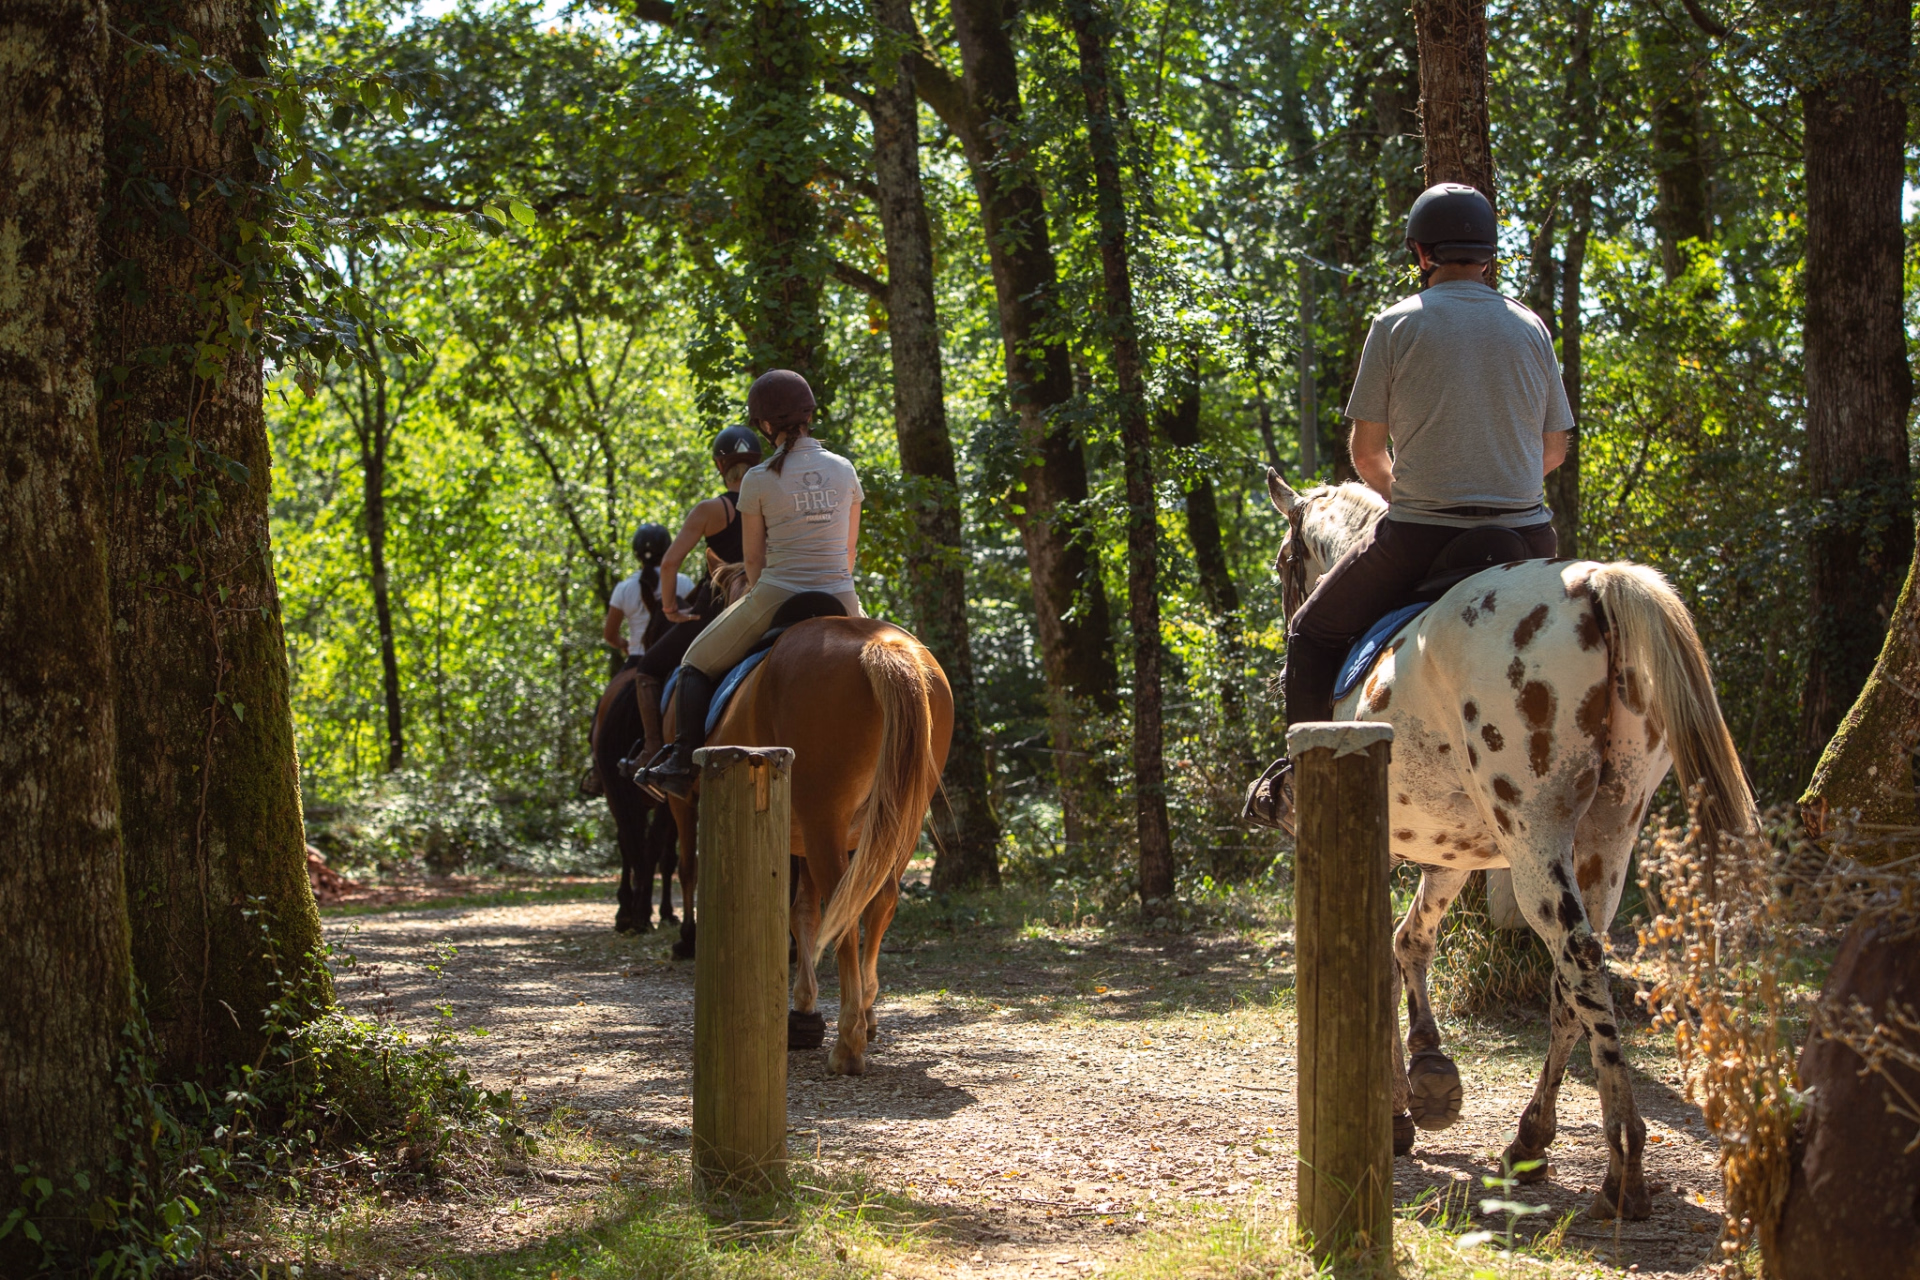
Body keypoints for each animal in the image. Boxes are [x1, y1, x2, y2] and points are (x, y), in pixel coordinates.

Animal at [661, 615, 952, 1076]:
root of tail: (880, 645)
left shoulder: (689, 808)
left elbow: (792, 912)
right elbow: (805, 915)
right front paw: (809, 1011)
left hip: (822, 822)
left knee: (845, 909)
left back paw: (848, 1043)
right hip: (898, 823)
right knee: (880, 900)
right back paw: (864, 1011)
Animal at [1266, 469, 1756, 1221]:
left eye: (1286, 565)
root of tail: (1592, 584)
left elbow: (1377, 951)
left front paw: (1398, 1107)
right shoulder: (1450, 850)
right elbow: (1410, 939)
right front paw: (1427, 1077)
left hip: (1535, 834)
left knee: (1575, 956)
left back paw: (1624, 1165)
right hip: (1608, 835)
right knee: (1574, 975)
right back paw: (1533, 1139)